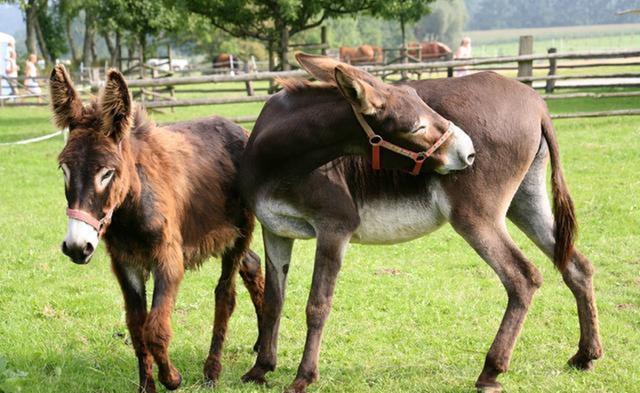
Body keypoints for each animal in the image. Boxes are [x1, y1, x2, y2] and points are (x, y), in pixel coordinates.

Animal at [50, 66, 264, 390]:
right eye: (64, 169)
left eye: (107, 173)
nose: (77, 247)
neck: (129, 209)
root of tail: (239, 129)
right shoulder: (125, 263)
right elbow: (137, 328)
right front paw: (147, 386)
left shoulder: (169, 258)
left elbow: (155, 328)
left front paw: (172, 378)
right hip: (224, 234)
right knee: (252, 264)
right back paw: (262, 343)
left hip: (240, 232)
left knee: (225, 295)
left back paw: (212, 371)